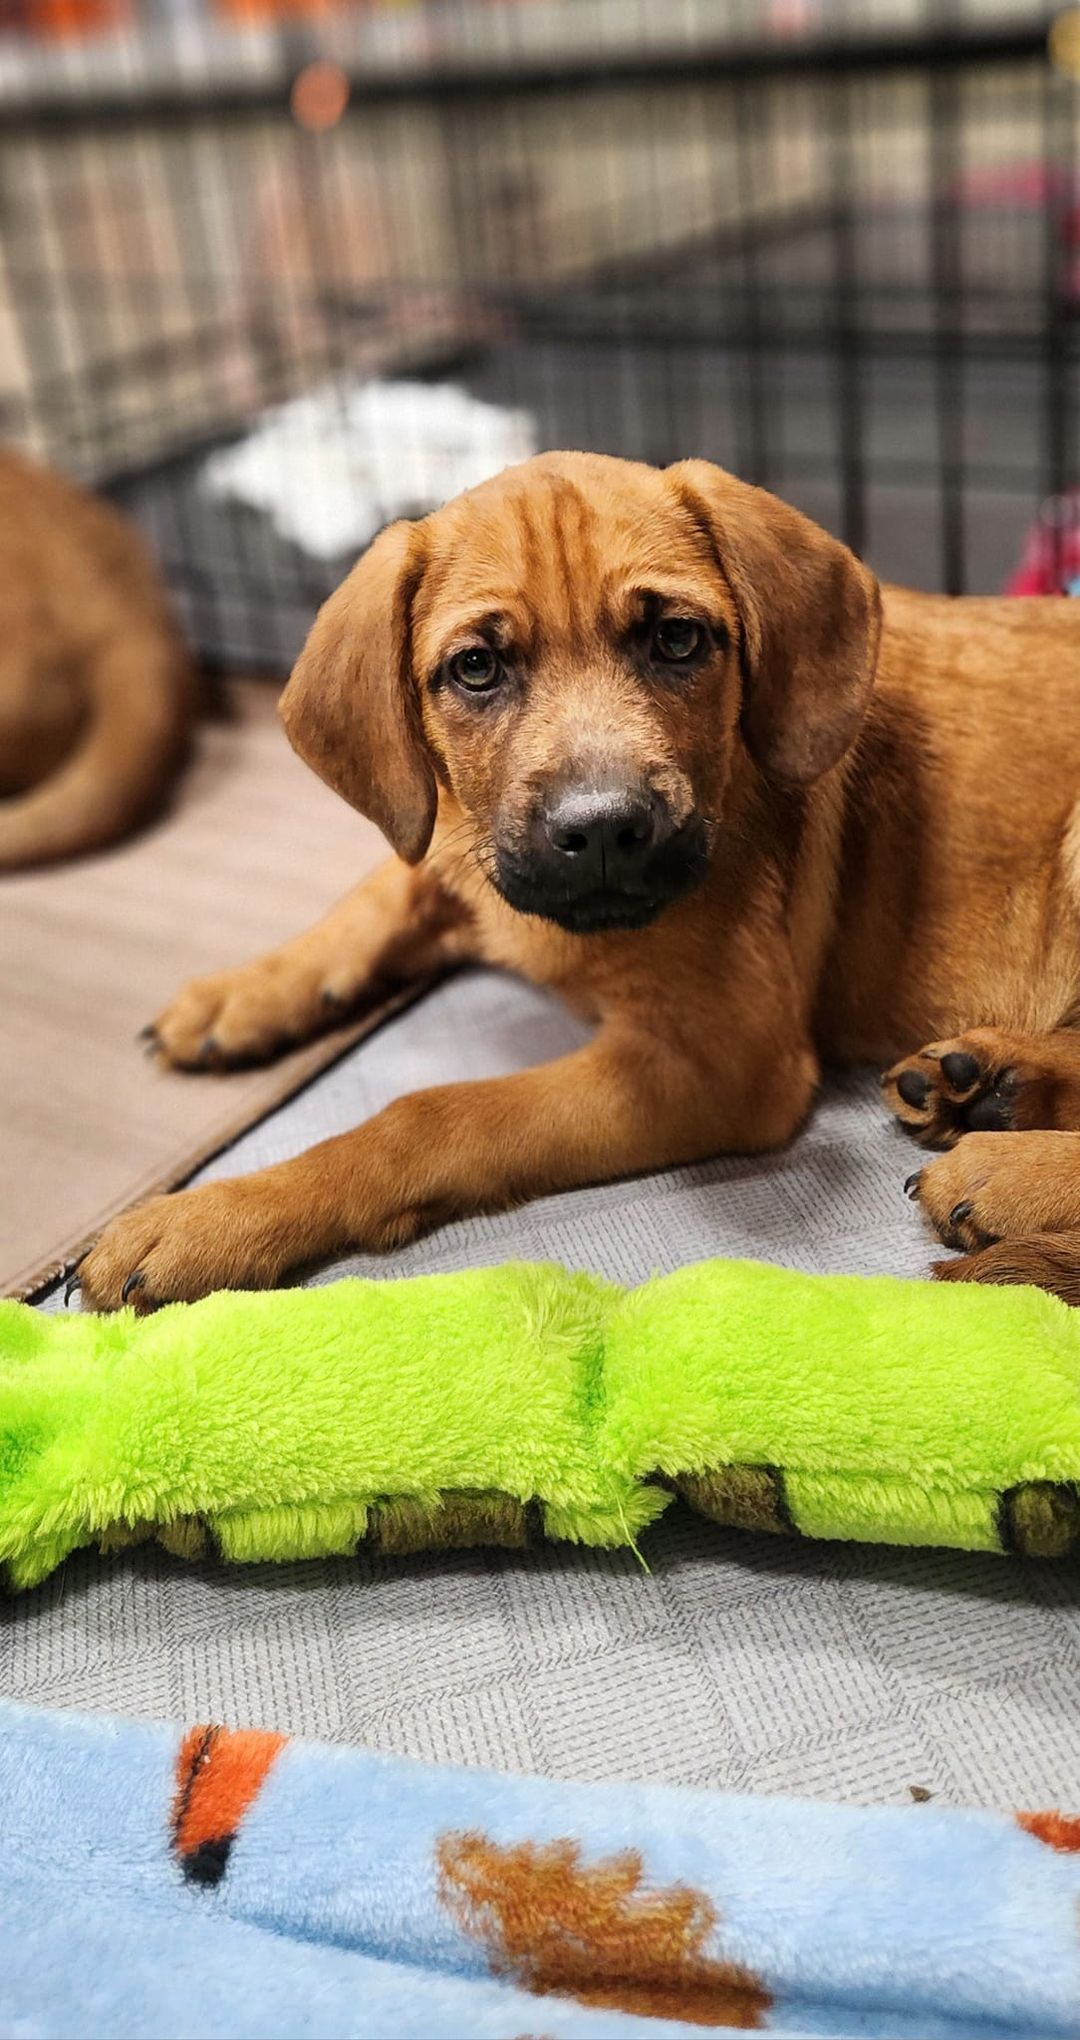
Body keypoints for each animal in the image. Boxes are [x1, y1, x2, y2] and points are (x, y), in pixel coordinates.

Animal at [80, 446, 1077, 1305]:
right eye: (476, 667)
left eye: (677, 640)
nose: (602, 834)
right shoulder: (465, 850)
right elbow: (385, 882)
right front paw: (243, 993)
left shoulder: (719, 1060)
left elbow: (434, 1114)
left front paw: (215, 1216)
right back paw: (988, 1082)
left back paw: (1004, 1167)